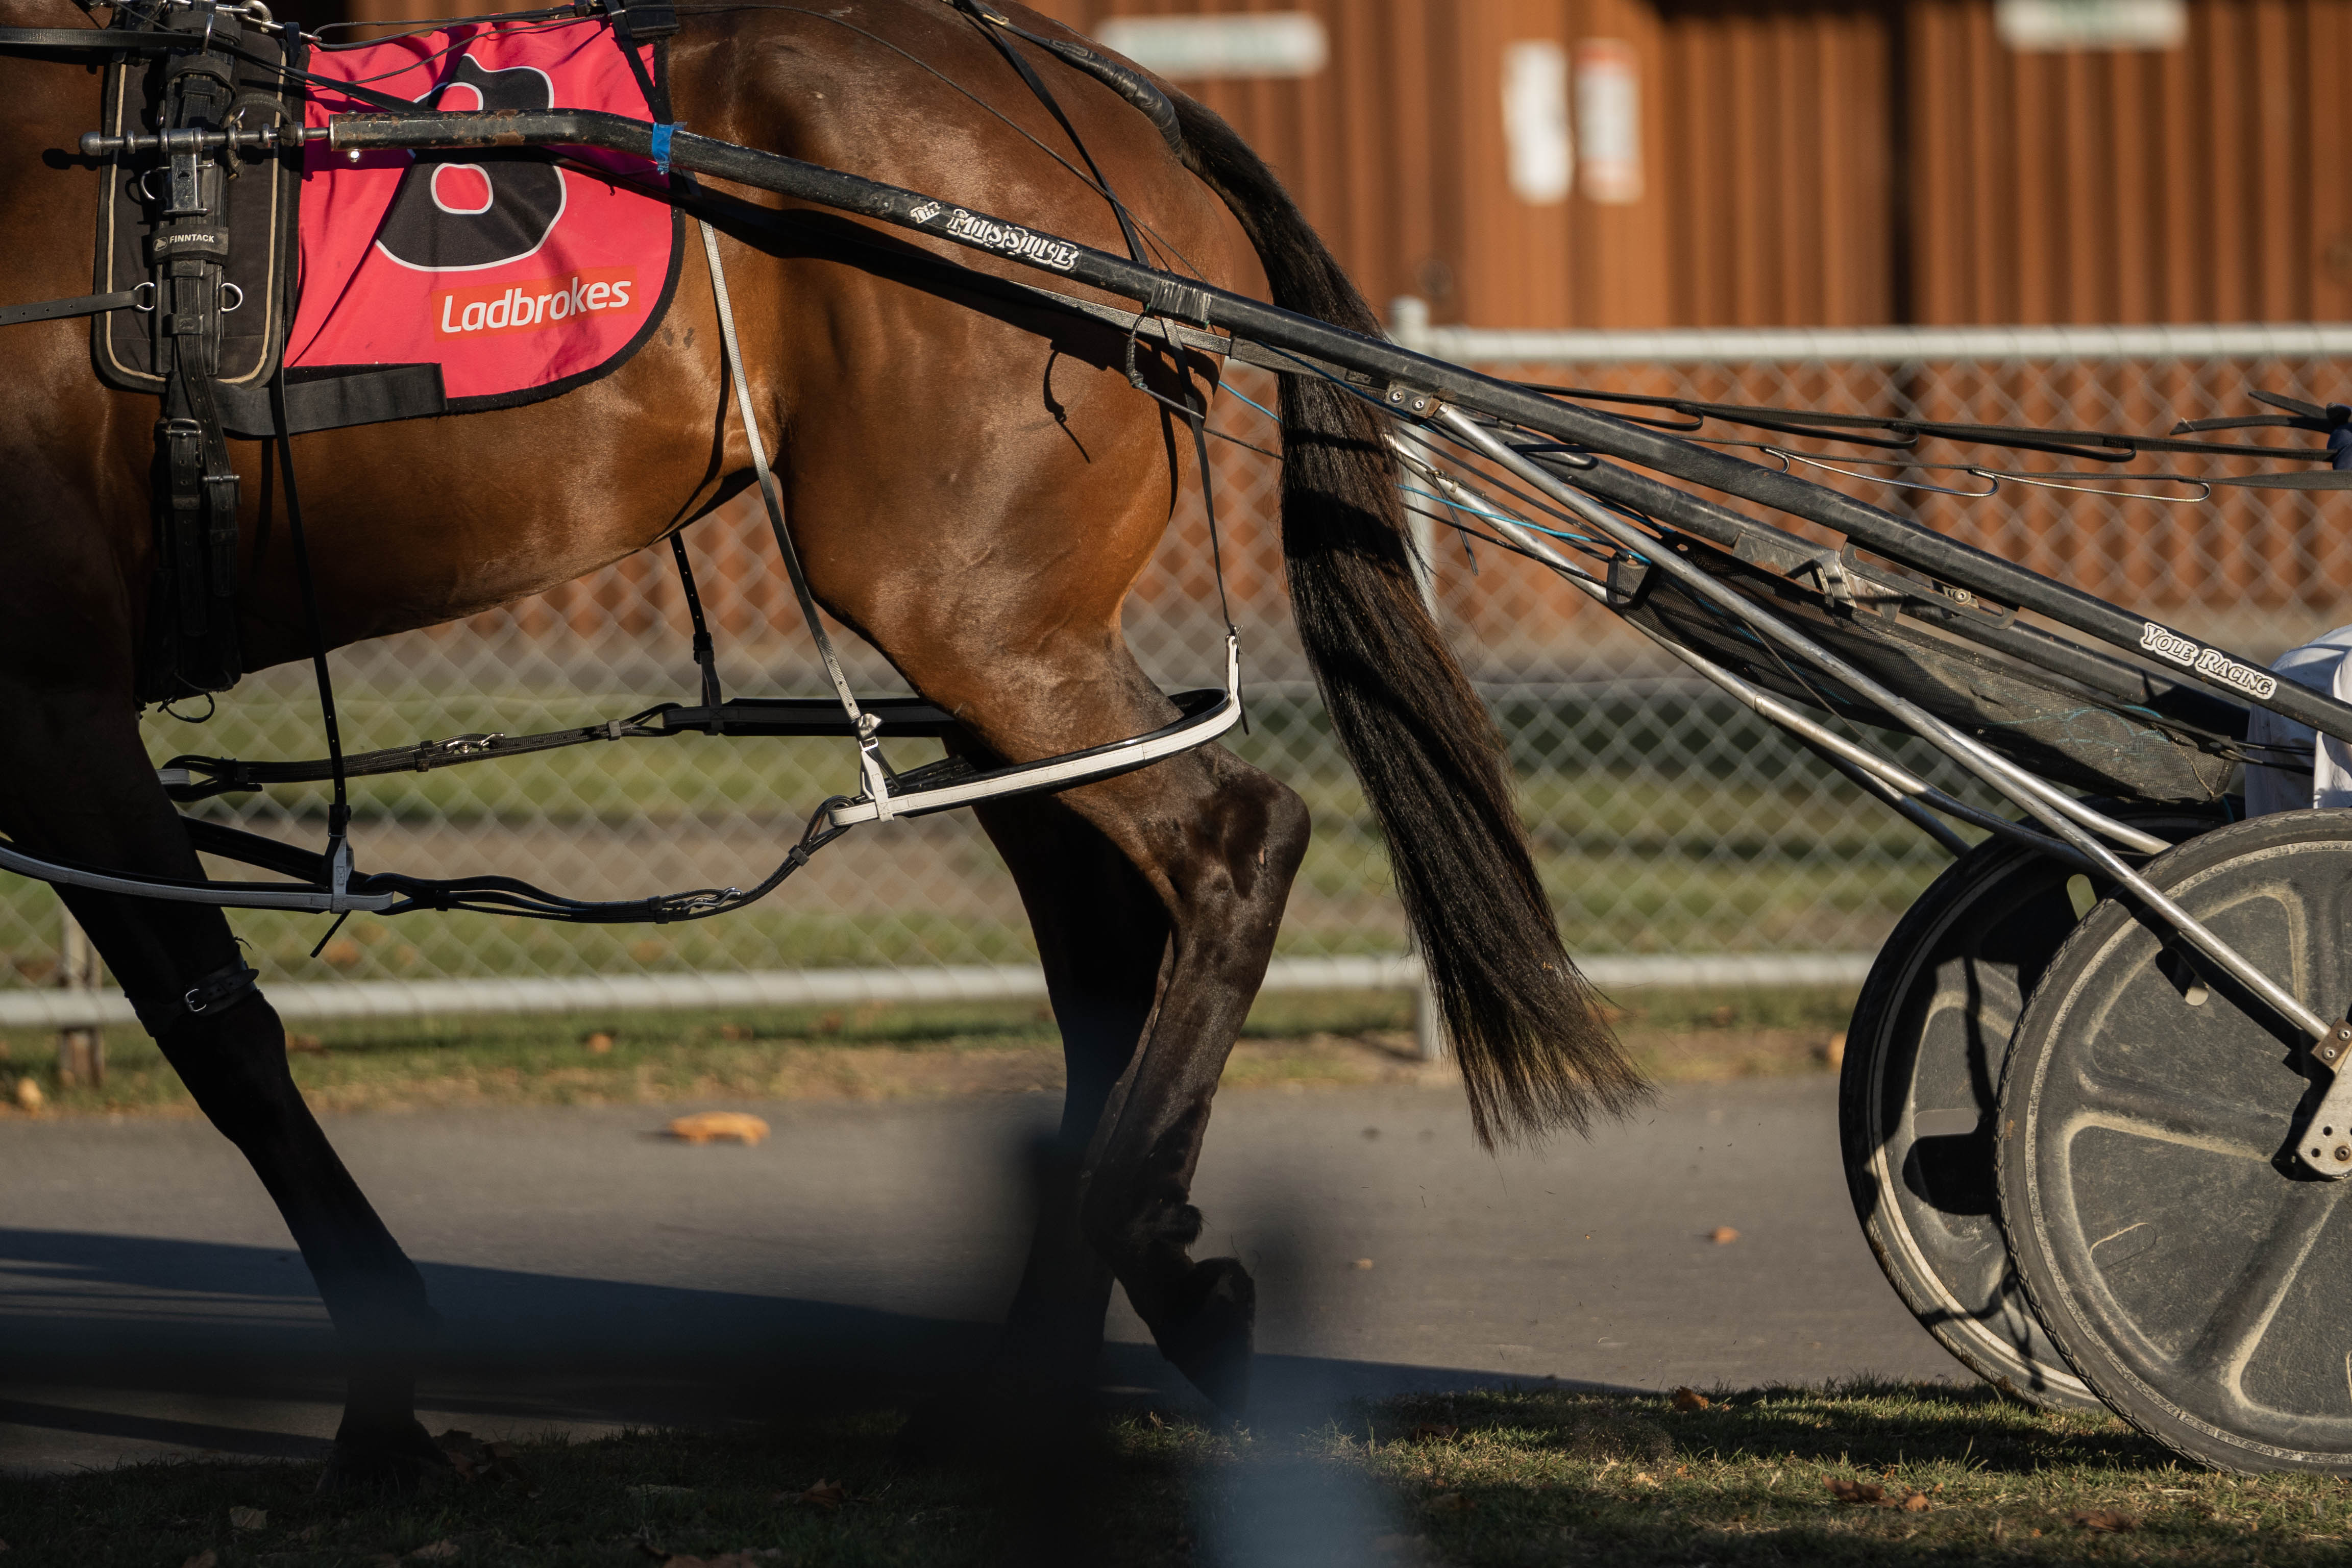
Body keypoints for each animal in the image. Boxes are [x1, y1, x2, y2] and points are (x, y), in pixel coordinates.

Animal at [0, 0, 1640, 1485]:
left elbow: (227, 1047)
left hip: (968, 606)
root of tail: (1078, 80)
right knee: (1109, 954)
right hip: (993, 651)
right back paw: (1046, 1370)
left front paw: (388, 1410)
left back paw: (1128, 1282)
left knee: (1238, 840)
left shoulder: (55, 701)